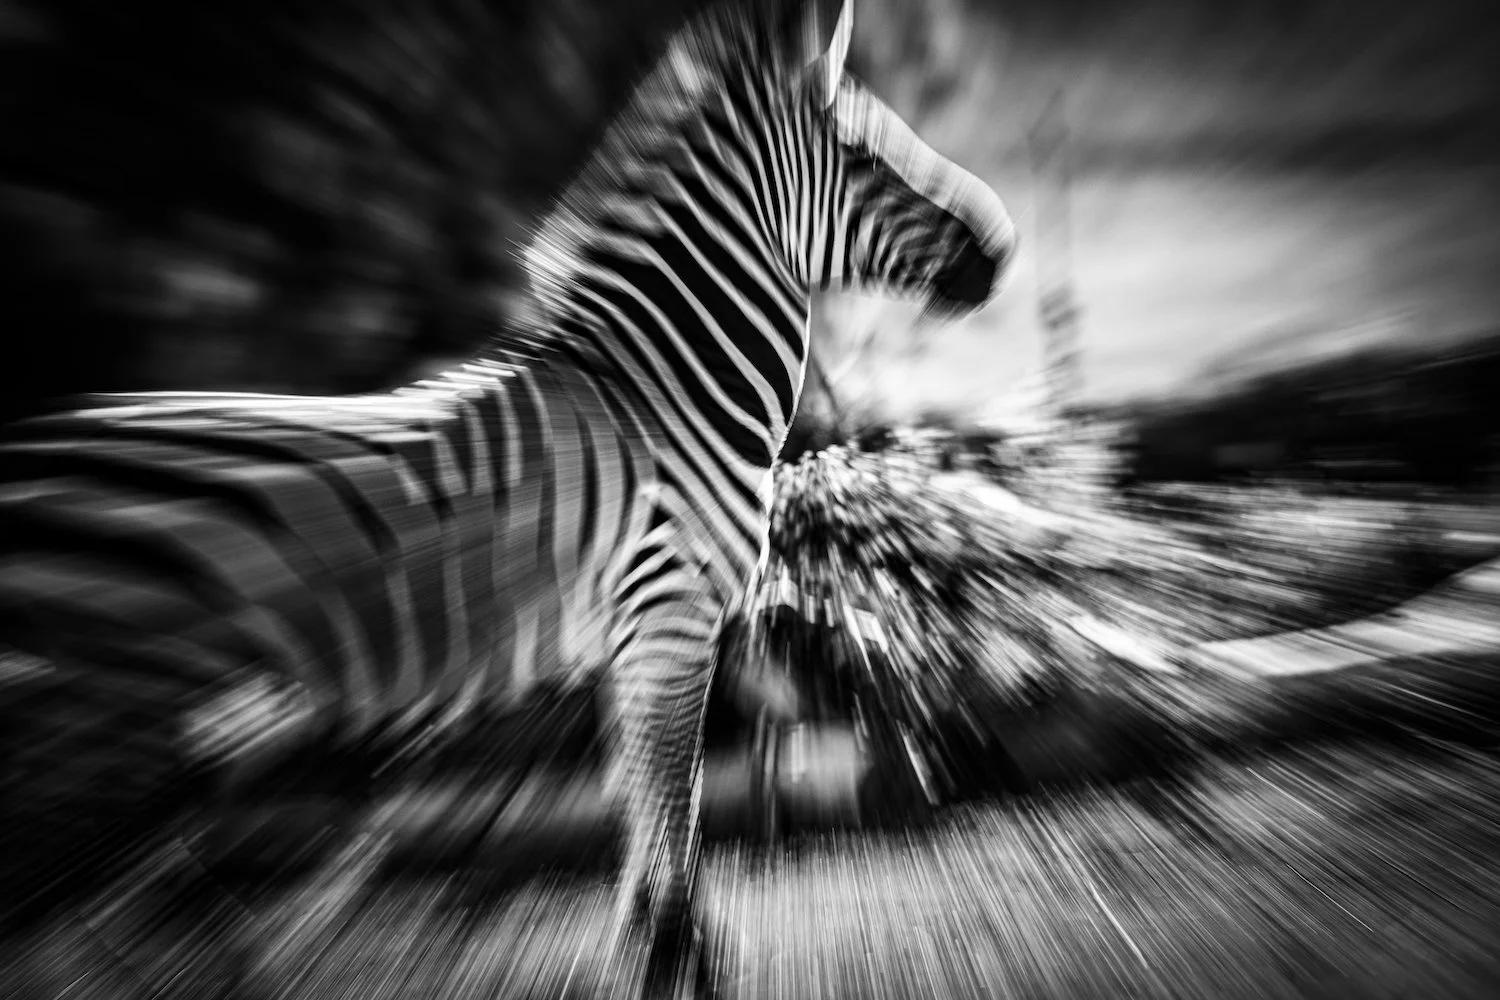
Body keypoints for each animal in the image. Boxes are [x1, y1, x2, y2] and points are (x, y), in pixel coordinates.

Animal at [0, 0, 1016, 995]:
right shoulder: (673, 613)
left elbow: (645, 800)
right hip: (97, 730)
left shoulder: (634, 636)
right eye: (866, 156)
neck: (661, 391)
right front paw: (681, 956)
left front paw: (651, 949)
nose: (1002, 253)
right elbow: (675, 798)